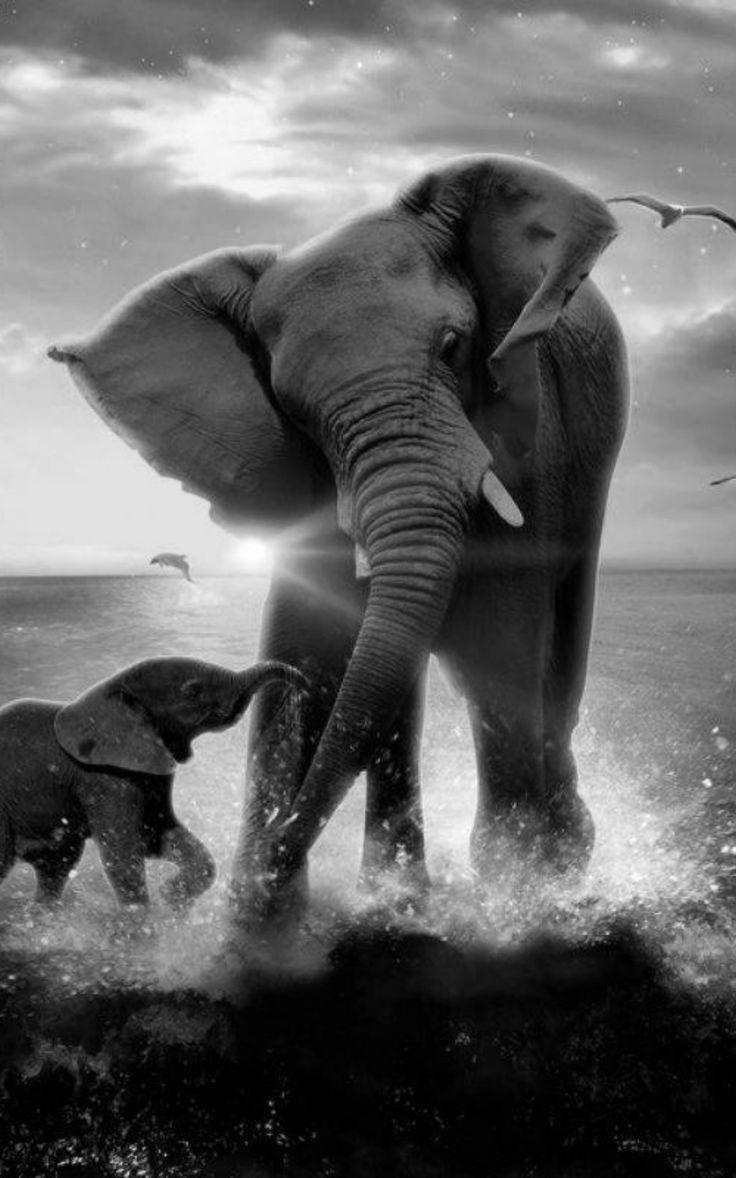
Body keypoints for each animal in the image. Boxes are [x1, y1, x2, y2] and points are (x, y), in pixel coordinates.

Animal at [0, 657, 305, 907]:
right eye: (193, 691)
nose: (303, 683)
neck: (111, 690)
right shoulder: (105, 779)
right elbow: (123, 856)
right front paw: (143, 931)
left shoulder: (149, 770)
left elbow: (157, 834)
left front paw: (171, 899)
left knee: (56, 866)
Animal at [49, 153, 631, 919]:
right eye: (293, 408)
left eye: (454, 346)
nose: (270, 861)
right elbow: (315, 634)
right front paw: (260, 914)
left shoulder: (532, 430)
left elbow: (500, 634)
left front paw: (518, 893)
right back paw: (399, 891)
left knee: (557, 632)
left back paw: (560, 859)